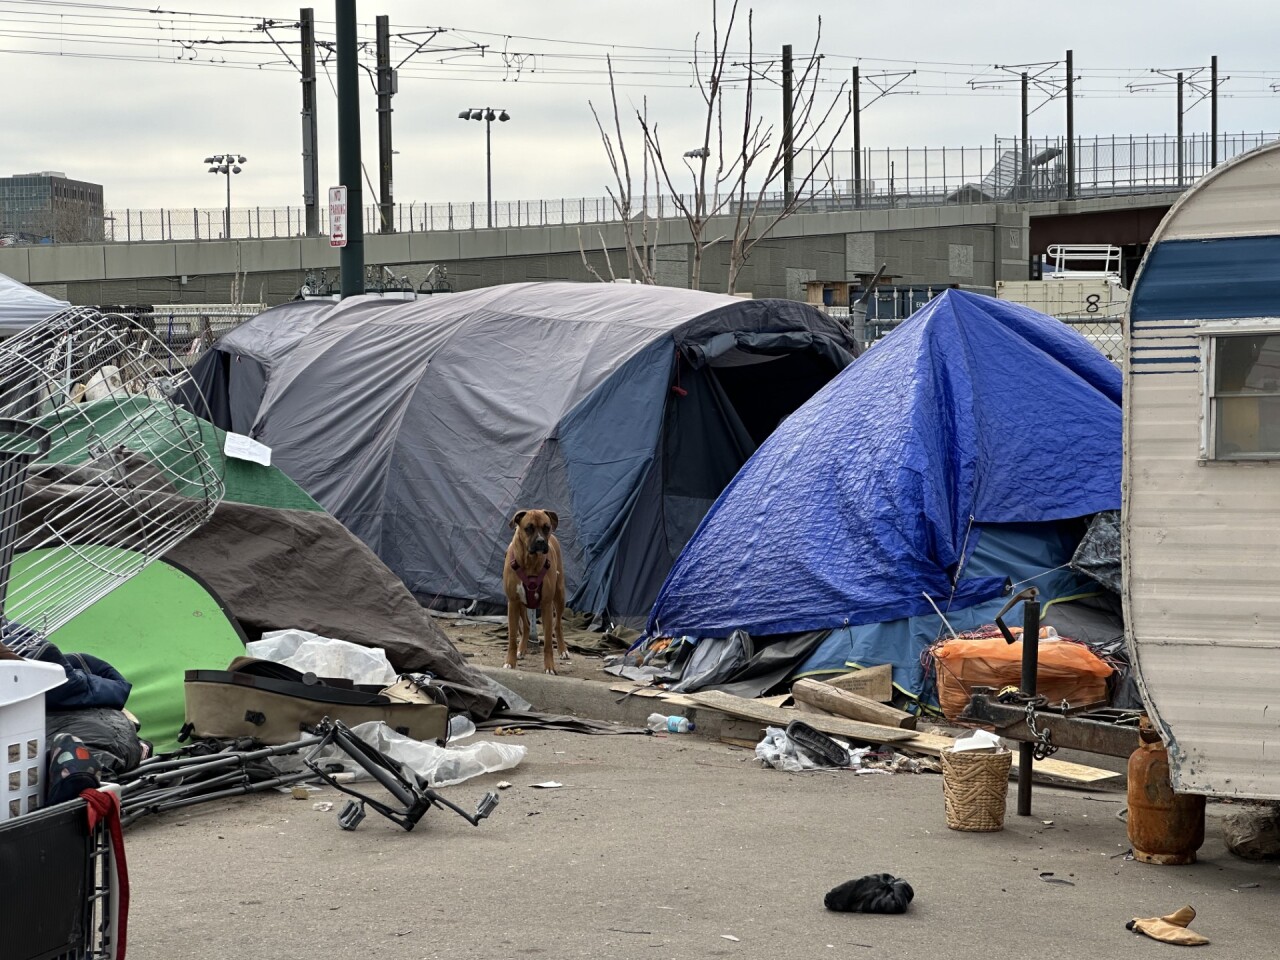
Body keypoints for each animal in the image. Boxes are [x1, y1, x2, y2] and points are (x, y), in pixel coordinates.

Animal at [501, 512, 568, 675]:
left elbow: (548, 643)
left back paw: (563, 650)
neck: (530, 561)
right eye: (529, 528)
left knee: (558, 625)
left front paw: (550, 667)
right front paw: (510, 662)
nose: (540, 541)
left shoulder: (546, 605)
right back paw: (521, 650)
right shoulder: (513, 602)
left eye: (546, 527)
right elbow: (512, 638)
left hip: (560, 596)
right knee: (526, 626)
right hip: (521, 604)